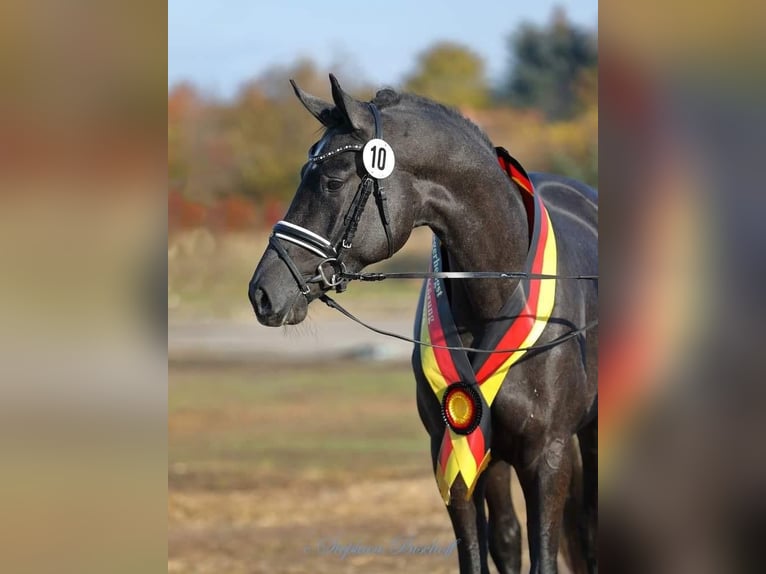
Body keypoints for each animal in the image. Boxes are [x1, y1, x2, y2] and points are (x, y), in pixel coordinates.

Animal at [252, 76, 600, 574]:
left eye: (333, 181)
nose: (262, 292)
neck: (499, 294)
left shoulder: (547, 458)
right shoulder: (455, 452)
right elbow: (478, 555)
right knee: (508, 538)